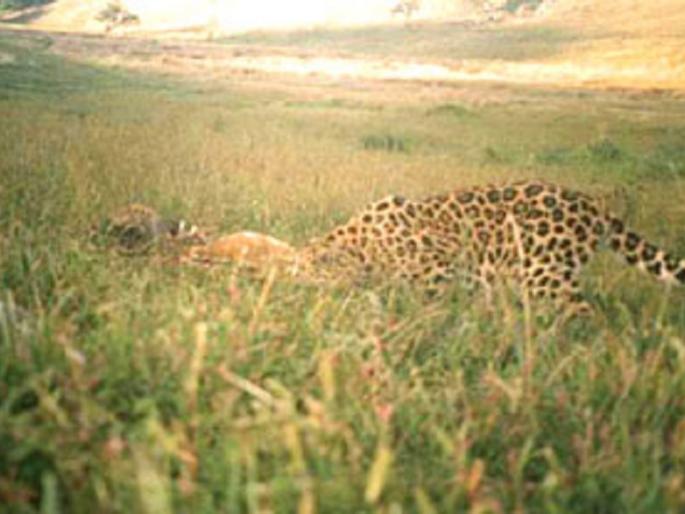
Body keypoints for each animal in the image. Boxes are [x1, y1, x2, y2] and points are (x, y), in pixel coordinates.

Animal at [293, 180, 685, 316]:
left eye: (311, 269)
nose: (293, 285)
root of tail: (594, 204)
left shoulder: (440, 269)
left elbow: (427, 304)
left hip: (541, 272)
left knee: (584, 316)